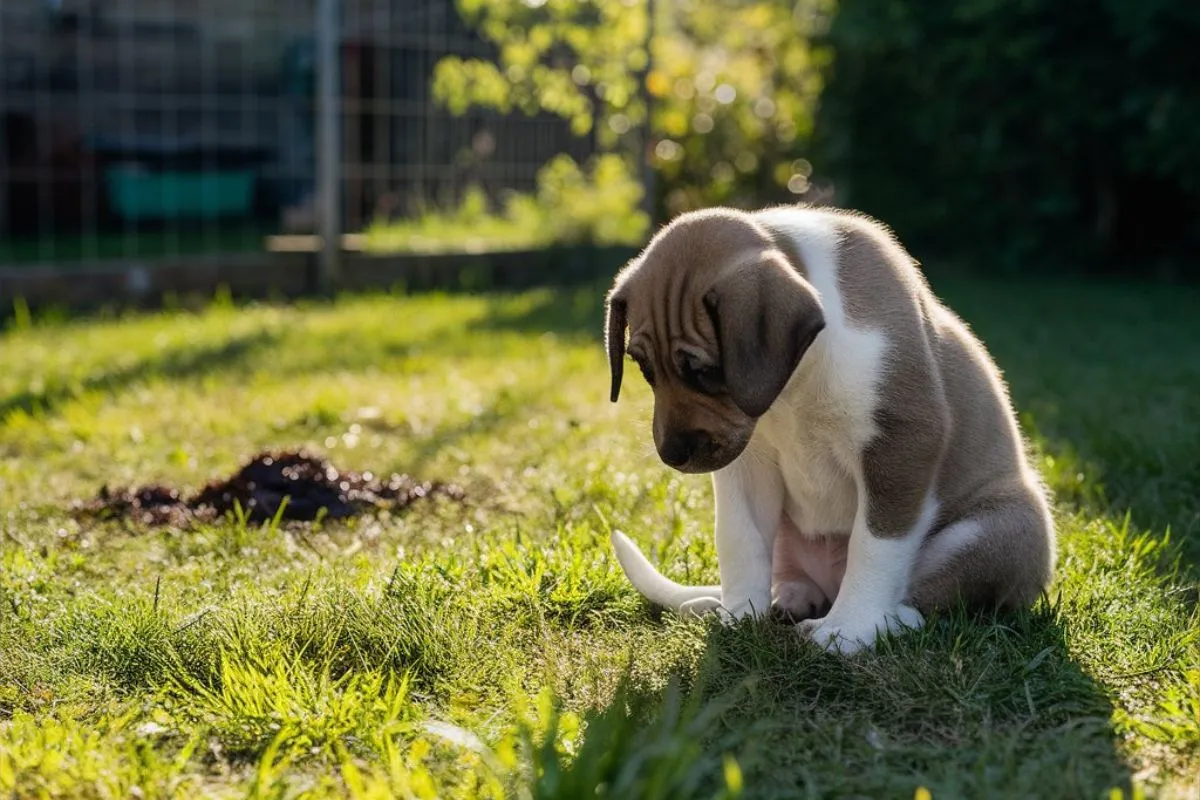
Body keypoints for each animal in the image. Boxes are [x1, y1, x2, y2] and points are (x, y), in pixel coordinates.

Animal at [604, 203, 1056, 652]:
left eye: (706, 372)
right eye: (644, 368)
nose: (672, 454)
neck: (794, 385)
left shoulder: (900, 443)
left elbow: (875, 546)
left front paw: (851, 629)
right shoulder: (748, 466)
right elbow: (740, 540)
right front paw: (737, 619)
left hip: (1004, 527)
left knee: (929, 594)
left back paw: (889, 620)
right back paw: (787, 599)